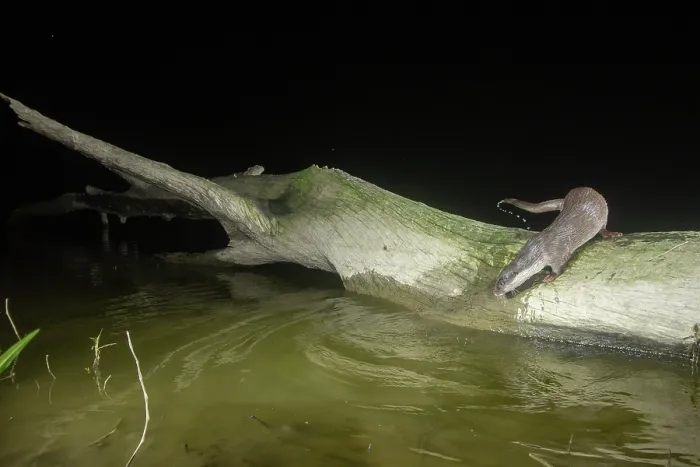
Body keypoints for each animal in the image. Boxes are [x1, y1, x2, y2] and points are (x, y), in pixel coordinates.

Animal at [493, 187, 622, 297]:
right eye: (496, 281)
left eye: (501, 284)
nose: (494, 292)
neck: (539, 249)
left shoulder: (556, 254)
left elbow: (558, 267)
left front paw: (550, 276)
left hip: (604, 209)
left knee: (603, 226)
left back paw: (610, 233)